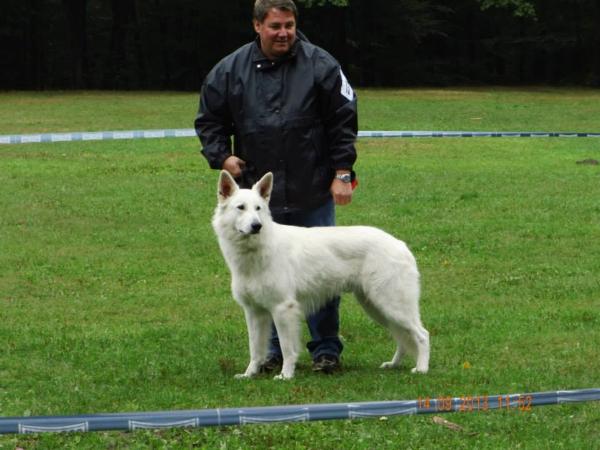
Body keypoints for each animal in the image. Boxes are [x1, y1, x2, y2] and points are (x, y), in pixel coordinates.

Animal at [213, 172, 428, 380]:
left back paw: (422, 368)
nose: (257, 226)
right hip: (377, 308)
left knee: (422, 335)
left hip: (391, 305)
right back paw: (393, 365)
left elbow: (287, 348)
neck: (256, 251)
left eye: (258, 208)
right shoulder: (254, 312)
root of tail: (400, 244)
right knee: (402, 338)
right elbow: (255, 350)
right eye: (241, 208)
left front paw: (285, 375)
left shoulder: (284, 309)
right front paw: (249, 374)